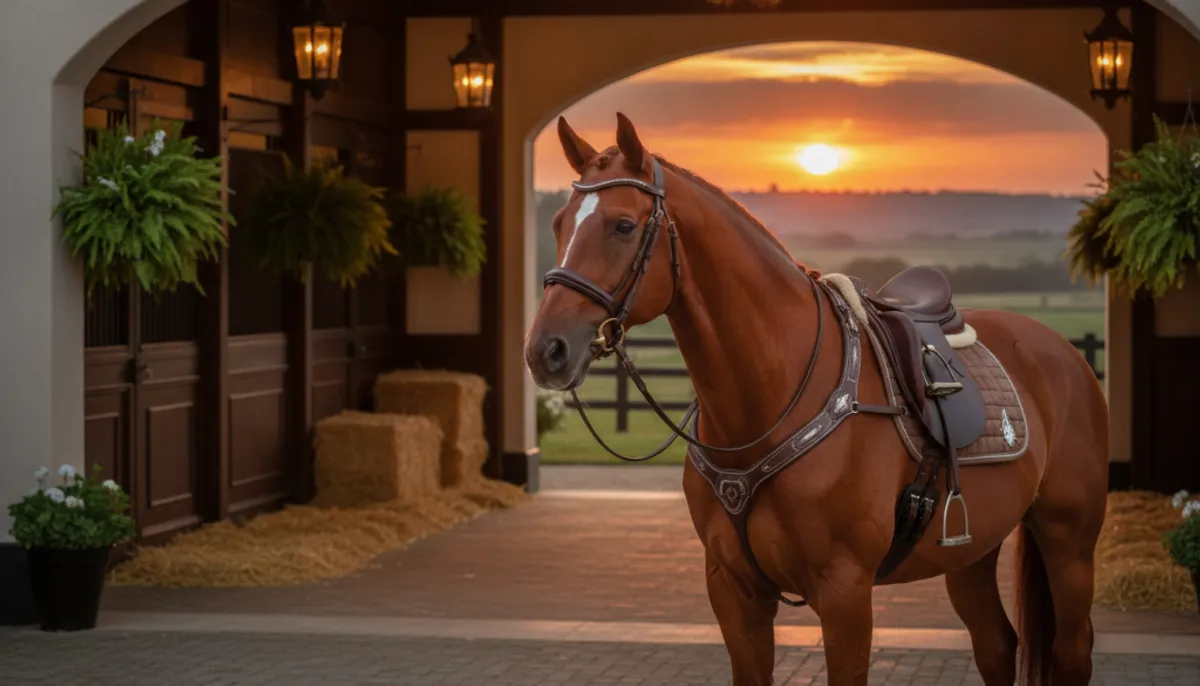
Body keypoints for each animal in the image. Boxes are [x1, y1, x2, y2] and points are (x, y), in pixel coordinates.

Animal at [524, 112, 1109, 686]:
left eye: (623, 225)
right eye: (558, 225)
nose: (545, 350)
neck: (771, 404)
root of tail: (1064, 353)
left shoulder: (844, 593)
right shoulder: (735, 593)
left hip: (1069, 542)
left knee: (1072, 652)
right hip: (971, 553)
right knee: (996, 647)